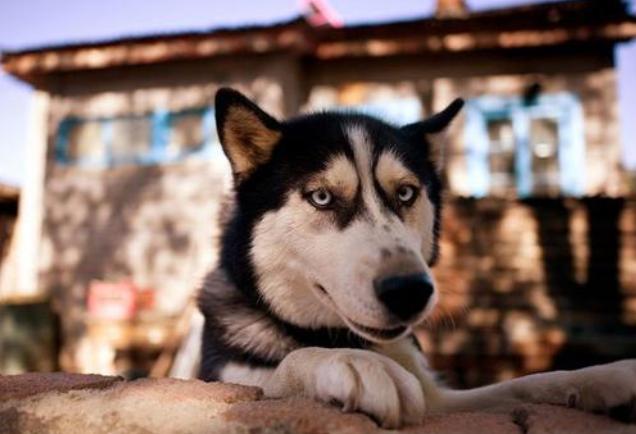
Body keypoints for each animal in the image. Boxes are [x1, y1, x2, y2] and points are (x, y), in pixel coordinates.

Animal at [201, 87, 636, 428]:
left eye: (406, 193)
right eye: (321, 197)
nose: (408, 290)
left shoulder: (443, 400)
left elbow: (530, 382)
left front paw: (609, 377)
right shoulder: (226, 381)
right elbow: (283, 370)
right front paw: (350, 363)